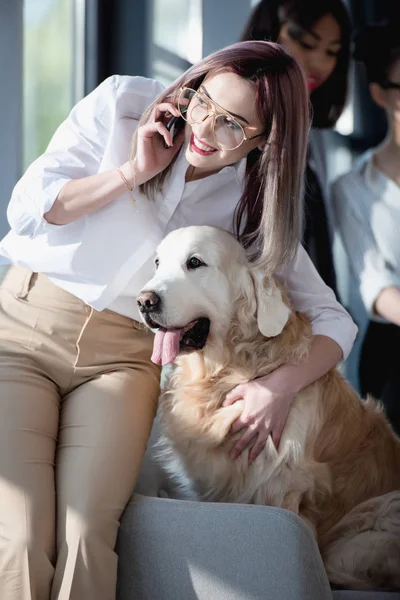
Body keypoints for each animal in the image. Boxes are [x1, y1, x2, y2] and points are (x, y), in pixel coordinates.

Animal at [136, 225, 398, 592]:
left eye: (195, 262)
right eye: (158, 263)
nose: (144, 301)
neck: (228, 370)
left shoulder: (281, 488)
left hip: (376, 518)